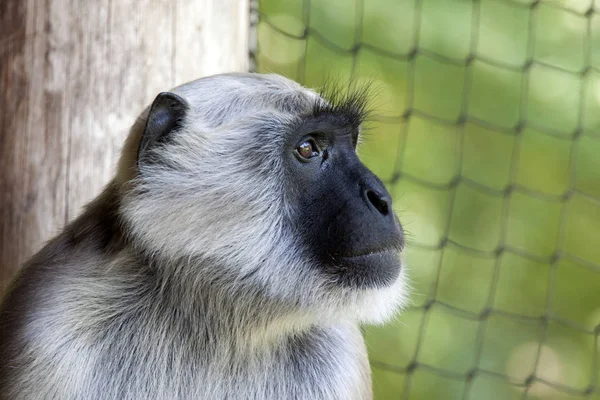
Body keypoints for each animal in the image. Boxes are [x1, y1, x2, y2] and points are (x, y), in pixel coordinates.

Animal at [0, 73, 408, 398]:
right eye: (308, 148)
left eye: (350, 143)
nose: (381, 199)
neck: (213, 324)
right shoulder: (49, 337)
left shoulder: (338, 356)